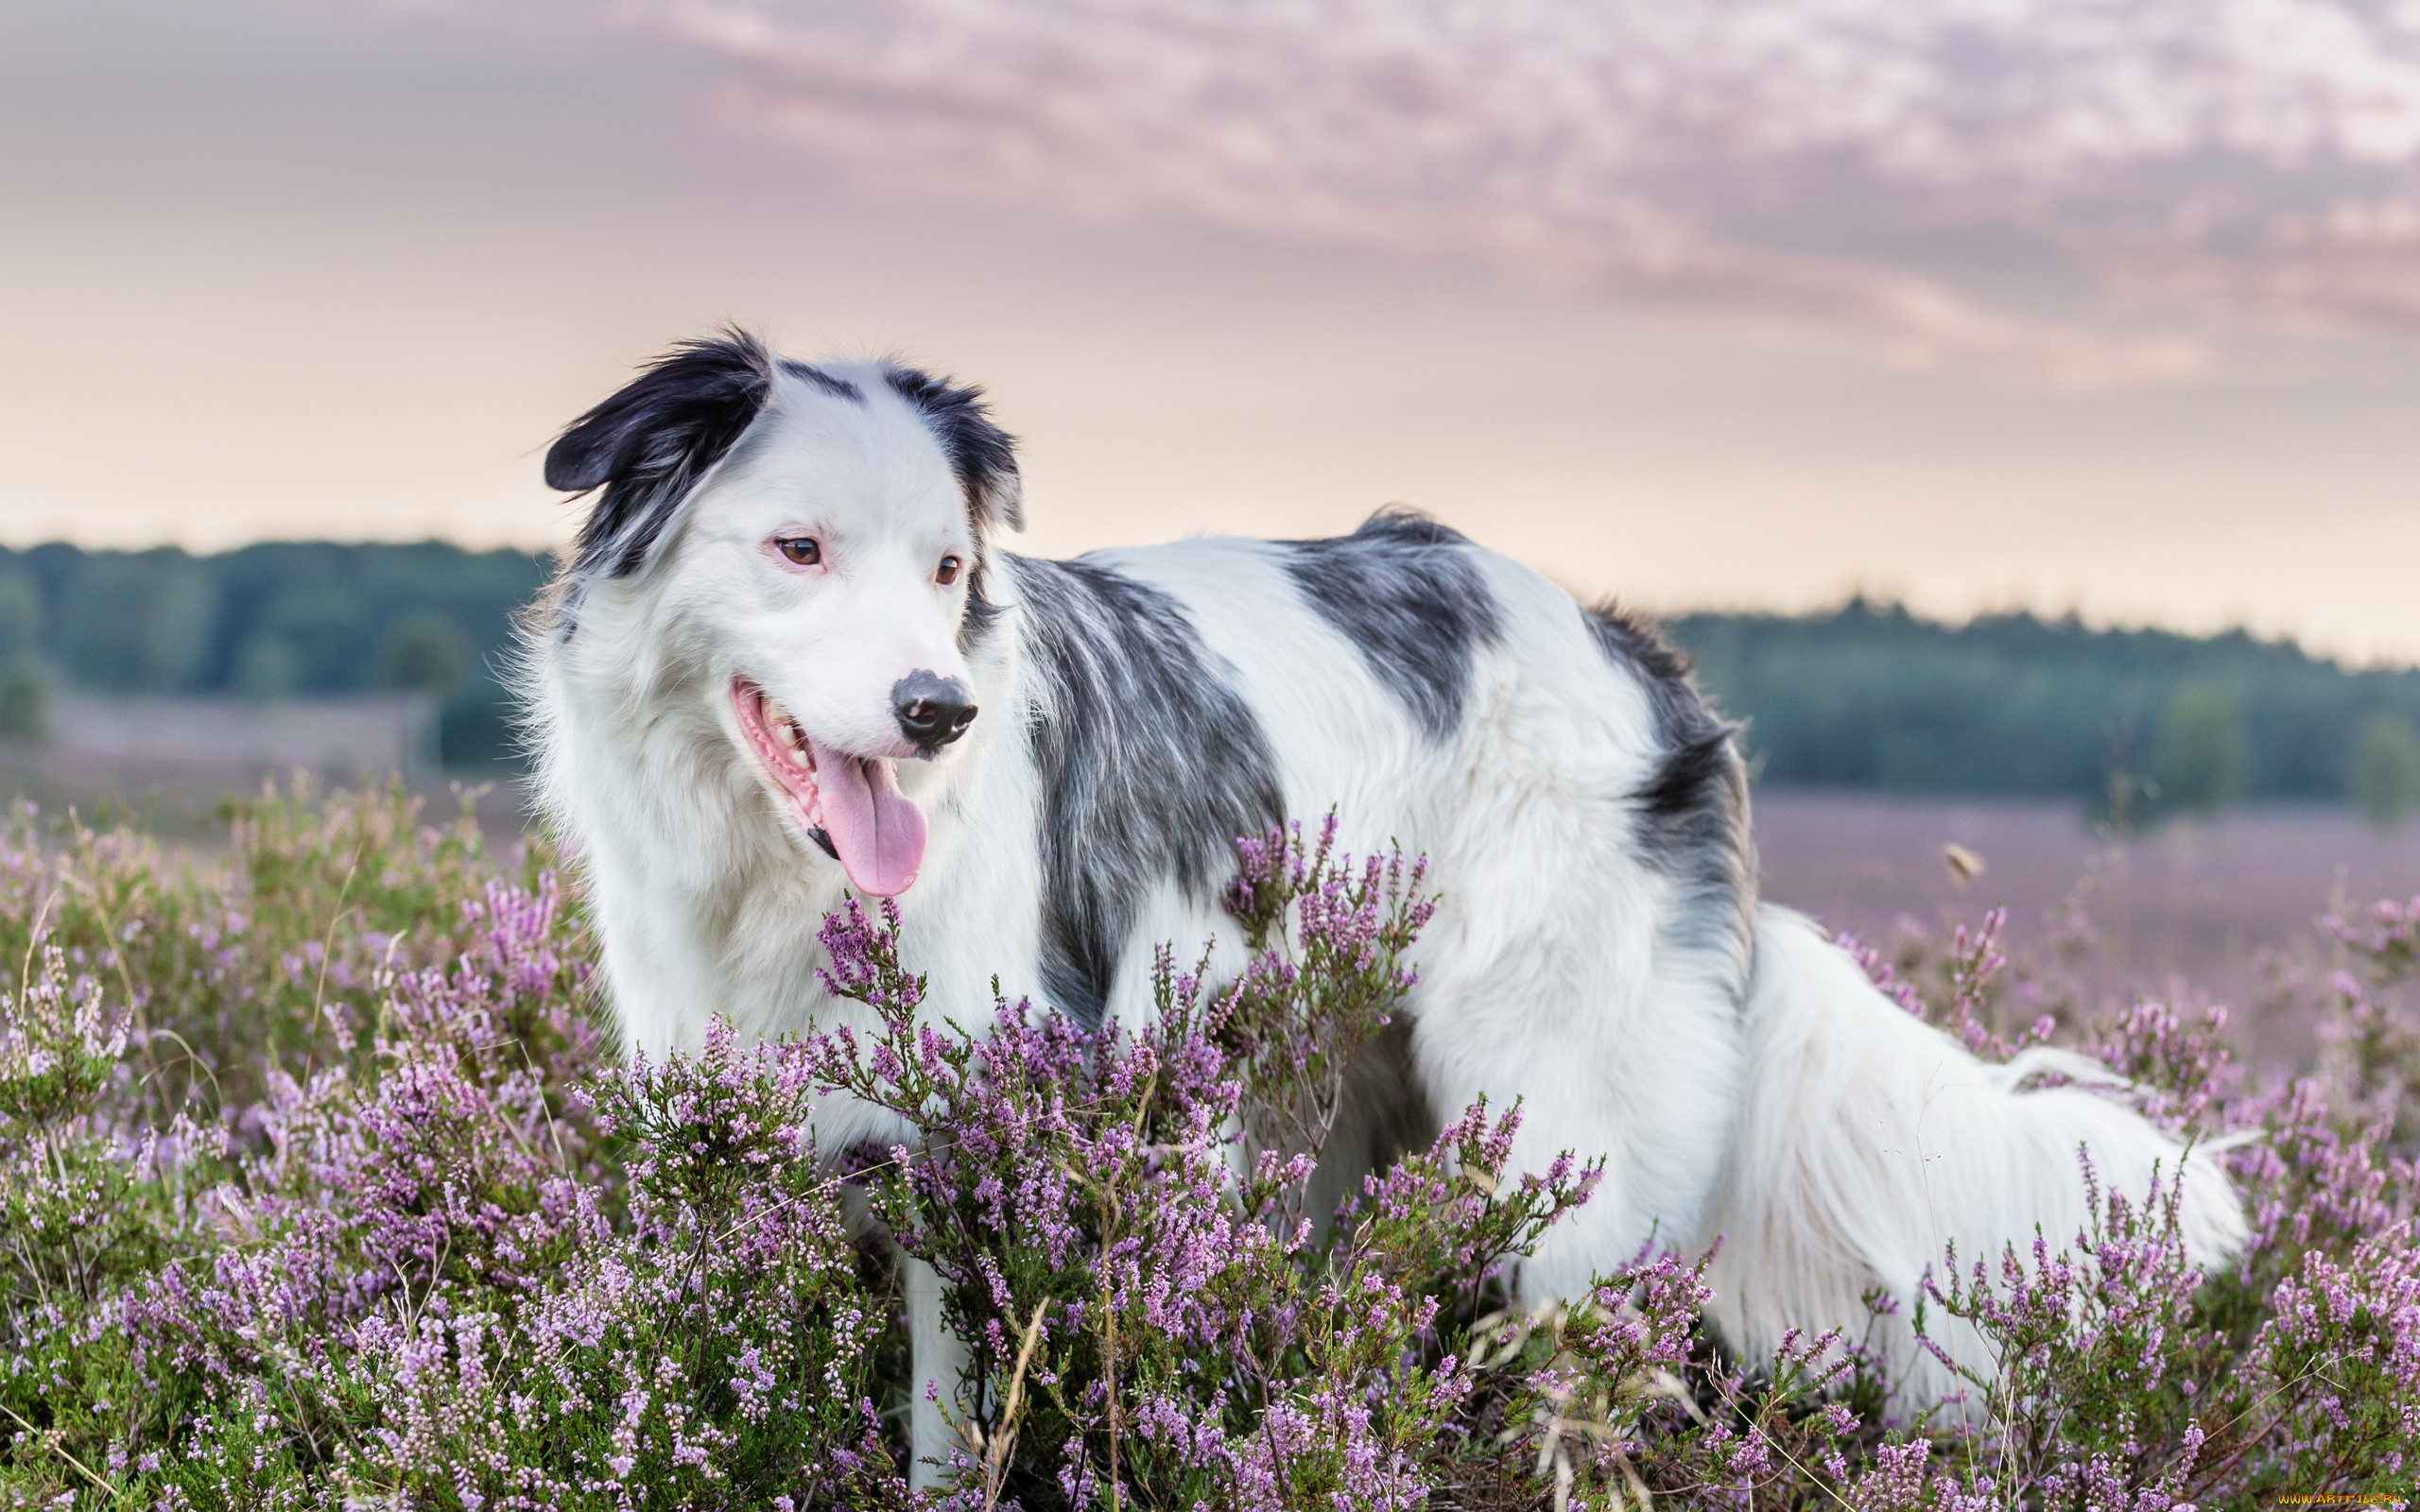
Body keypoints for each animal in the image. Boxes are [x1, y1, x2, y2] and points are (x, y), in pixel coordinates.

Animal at [525, 326, 2245, 1470]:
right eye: (797, 549)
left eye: (948, 571)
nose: (938, 710)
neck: (772, 879)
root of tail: (1638, 652)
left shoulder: (988, 1150)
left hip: (1557, 1136)